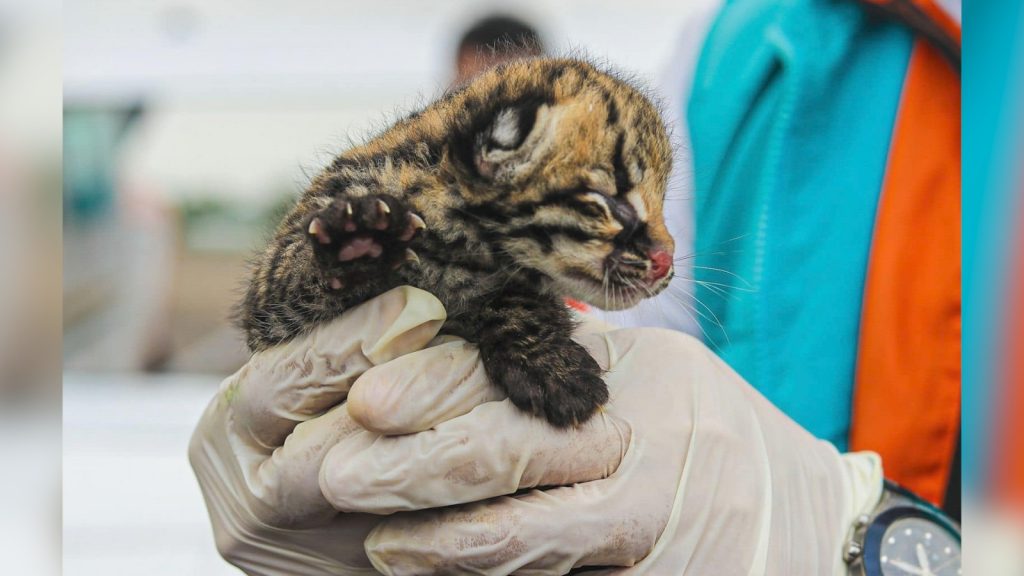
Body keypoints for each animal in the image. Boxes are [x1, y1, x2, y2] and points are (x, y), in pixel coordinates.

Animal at [237, 59, 671, 426]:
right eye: (612, 201)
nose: (668, 262)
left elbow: (516, 300)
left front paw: (552, 366)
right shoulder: (268, 302)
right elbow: (296, 265)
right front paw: (356, 238)